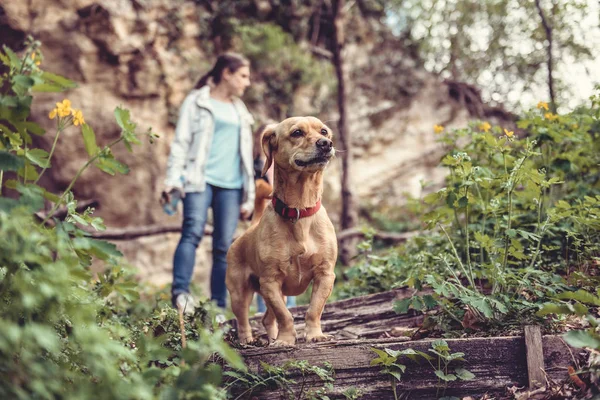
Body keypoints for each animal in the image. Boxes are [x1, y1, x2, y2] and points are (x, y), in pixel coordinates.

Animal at [226, 116, 338, 346]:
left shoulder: (325, 275)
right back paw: (248, 341)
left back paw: (270, 338)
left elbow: (314, 310)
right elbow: (285, 316)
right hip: (240, 294)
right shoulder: (270, 281)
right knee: (243, 321)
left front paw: (315, 335)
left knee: (268, 319)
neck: (300, 210)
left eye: (324, 131)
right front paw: (286, 340)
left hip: (277, 294)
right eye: (297, 133)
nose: (326, 143)